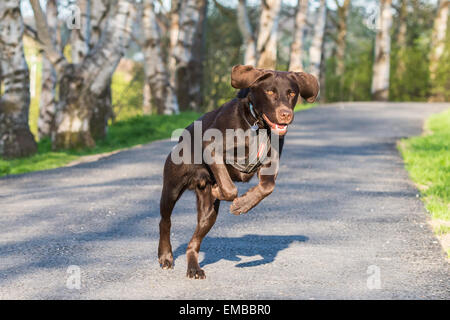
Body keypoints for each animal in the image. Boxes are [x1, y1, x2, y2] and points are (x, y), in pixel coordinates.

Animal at [158, 64, 320, 278]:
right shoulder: (212, 148)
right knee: (165, 221)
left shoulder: (270, 164)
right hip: (172, 187)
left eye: (291, 93)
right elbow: (229, 187)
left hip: (208, 213)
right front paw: (228, 196)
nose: (286, 114)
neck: (256, 125)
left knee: (193, 242)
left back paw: (194, 268)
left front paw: (243, 204)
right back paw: (165, 256)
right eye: (270, 92)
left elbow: (268, 187)